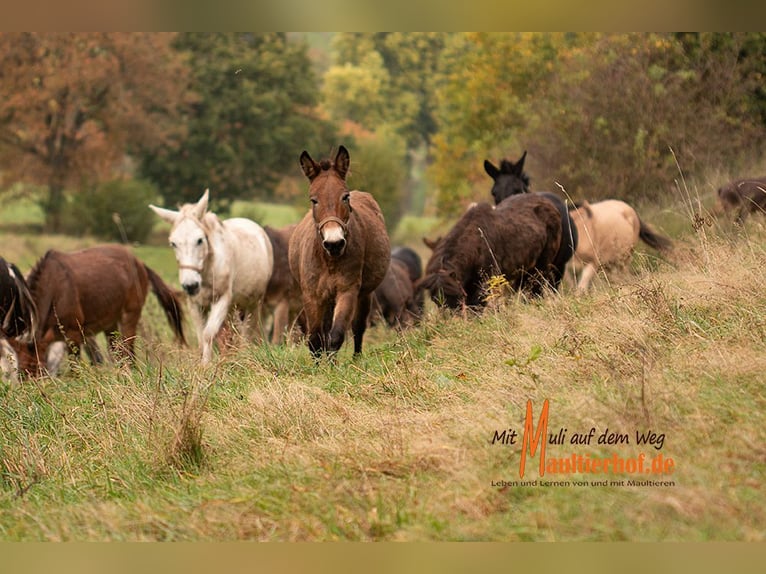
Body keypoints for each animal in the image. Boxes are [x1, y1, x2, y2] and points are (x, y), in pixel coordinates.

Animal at [13, 244, 186, 376]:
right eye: (20, 373)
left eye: (36, 369)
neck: (54, 288)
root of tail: (139, 263)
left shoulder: (74, 335)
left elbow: (75, 366)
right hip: (111, 323)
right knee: (117, 351)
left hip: (130, 315)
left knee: (128, 350)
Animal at [148, 191, 274, 366]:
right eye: (173, 243)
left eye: (200, 240)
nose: (191, 285)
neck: (207, 272)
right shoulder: (195, 304)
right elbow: (201, 337)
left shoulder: (222, 299)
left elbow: (208, 334)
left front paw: (206, 365)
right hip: (233, 307)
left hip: (254, 303)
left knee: (247, 331)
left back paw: (243, 354)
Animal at [292, 146, 392, 358]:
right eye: (314, 200)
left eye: (345, 197)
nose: (334, 243)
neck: (328, 260)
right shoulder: (312, 296)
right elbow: (316, 340)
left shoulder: (347, 291)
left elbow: (336, 336)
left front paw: (333, 365)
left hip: (364, 295)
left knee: (358, 328)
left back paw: (356, 359)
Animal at [416, 195, 560, 310]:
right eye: (436, 300)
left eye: (454, 295)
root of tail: (550, 204)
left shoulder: (484, 283)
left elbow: (477, 306)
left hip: (541, 266)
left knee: (537, 288)